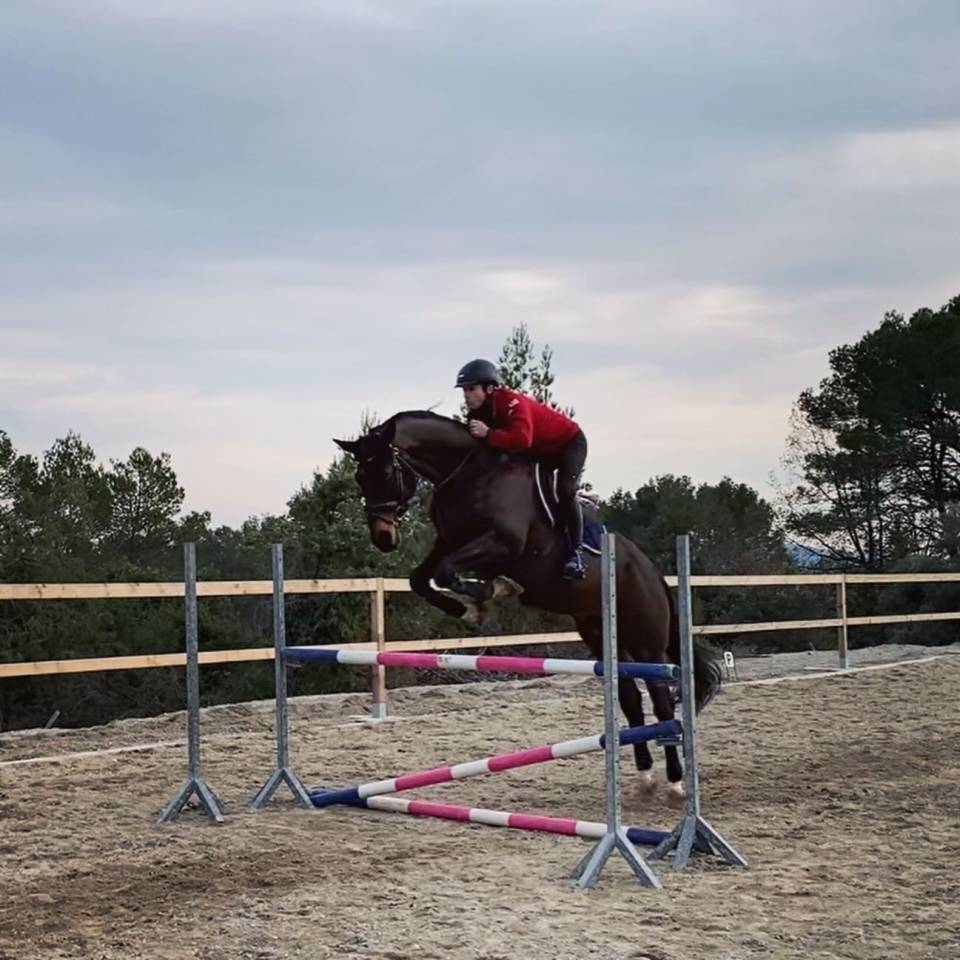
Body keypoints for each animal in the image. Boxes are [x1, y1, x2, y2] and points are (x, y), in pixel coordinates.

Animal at [334, 410, 720, 798]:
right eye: (360, 476)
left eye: (385, 472)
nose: (383, 537)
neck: (467, 470)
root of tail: (652, 571)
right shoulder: (448, 544)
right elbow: (423, 578)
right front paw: (468, 609)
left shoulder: (502, 544)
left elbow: (448, 573)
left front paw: (492, 593)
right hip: (600, 633)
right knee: (630, 699)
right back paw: (645, 776)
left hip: (645, 640)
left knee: (660, 700)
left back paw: (675, 781)